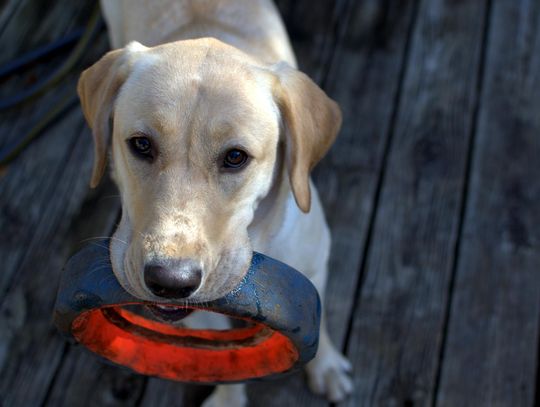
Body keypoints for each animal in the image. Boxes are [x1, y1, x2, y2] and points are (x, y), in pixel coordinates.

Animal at [78, 0, 352, 404]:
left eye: (235, 157)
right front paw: (228, 398)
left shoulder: (316, 266)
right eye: (141, 144)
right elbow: (225, 358)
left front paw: (327, 366)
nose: (170, 281)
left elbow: (322, 324)